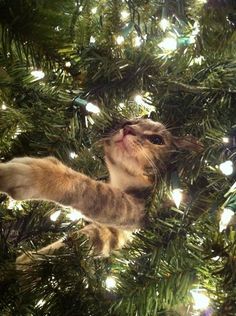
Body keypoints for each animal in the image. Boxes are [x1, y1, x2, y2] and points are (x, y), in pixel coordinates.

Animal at [0, 117, 201, 262]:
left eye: (157, 139)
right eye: (128, 123)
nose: (128, 129)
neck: (125, 182)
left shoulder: (144, 207)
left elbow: (88, 188)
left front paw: (37, 173)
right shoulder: (115, 231)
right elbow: (78, 240)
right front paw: (29, 262)